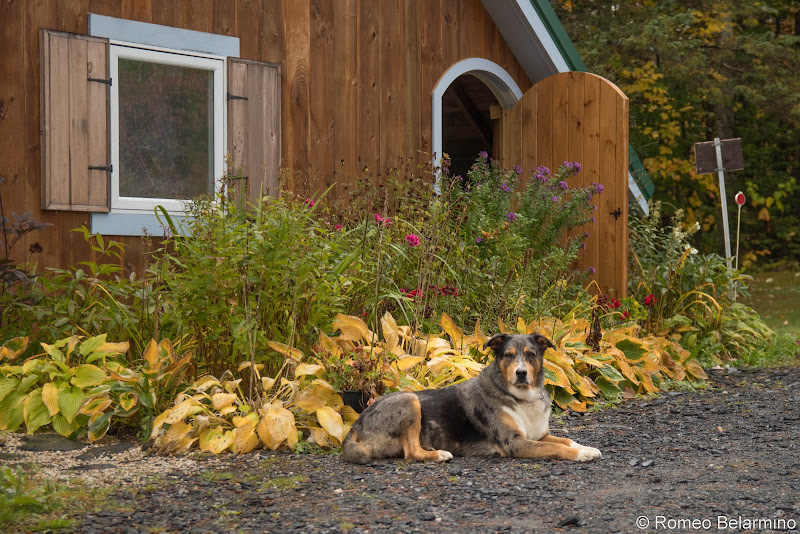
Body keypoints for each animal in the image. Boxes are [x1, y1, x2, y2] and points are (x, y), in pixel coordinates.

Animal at [342, 336, 600, 464]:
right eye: (508, 355)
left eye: (530, 354)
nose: (521, 373)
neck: (521, 398)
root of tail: (354, 427)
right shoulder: (516, 442)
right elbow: (556, 448)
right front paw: (582, 455)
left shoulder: (539, 435)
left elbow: (566, 440)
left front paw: (587, 448)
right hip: (409, 400)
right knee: (412, 452)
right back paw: (438, 454)